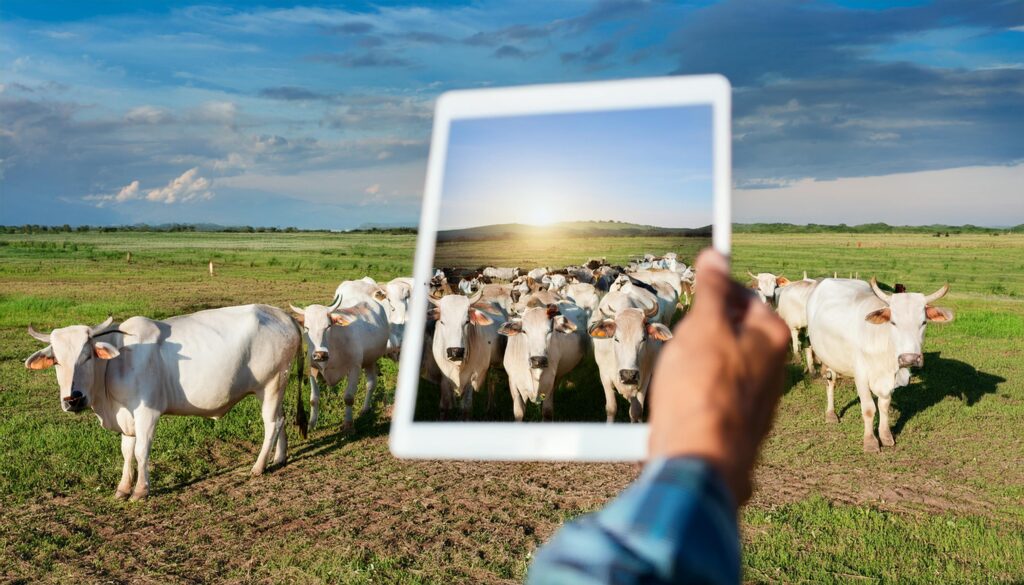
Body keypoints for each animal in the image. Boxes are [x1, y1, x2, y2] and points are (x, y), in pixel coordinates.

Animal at [23, 309, 303, 502]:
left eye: (88, 355)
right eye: (56, 360)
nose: (73, 399)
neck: (117, 363)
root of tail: (285, 317)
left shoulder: (147, 413)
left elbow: (141, 452)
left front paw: (140, 490)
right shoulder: (126, 419)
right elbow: (127, 452)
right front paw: (123, 488)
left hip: (271, 385)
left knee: (272, 423)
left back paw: (258, 466)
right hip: (275, 389)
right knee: (281, 419)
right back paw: (279, 457)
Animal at [290, 295, 389, 432]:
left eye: (328, 326)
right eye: (307, 328)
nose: (320, 354)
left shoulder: (354, 368)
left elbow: (348, 398)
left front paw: (348, 425)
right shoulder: (313, 369)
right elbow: (314, 399)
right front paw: (311, 424)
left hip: (372, 359)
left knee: (371, 384)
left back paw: (364, 408)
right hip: (368, 361)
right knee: (371, 383)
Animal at [425, 288, 505, 418]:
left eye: (467, 321)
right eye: (442, 322)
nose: (455, 351)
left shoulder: (472, 377)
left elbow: (466, 408)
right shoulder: (444, 376)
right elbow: (444, 406)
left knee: (492, 381)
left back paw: (490, 408)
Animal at [585, 290, 671, 422]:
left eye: (643, 338)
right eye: (616, 338)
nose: (628, 374)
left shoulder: (645, 378)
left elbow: (636, 412)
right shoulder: (604, 376)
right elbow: (611, 408)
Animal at [806, 278, 950, 452]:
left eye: (923, 322)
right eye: (893, 322)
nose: (909, 358)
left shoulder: (890, 379)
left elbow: (884, 406)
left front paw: (885, 435)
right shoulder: (861, 375)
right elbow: (869, 409)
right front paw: (870, 441)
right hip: (827, 357)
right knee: (830, 381)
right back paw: (831, 413)